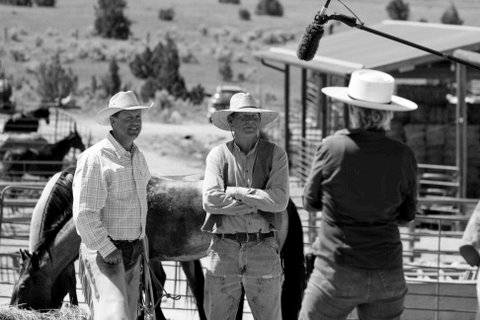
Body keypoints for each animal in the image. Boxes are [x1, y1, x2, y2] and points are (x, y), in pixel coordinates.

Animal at [11, 169, 306, 318]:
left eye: (24, 285)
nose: (13, 307)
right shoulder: (150, 259)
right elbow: (151, 294)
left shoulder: (145, 258)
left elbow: (150, 295)